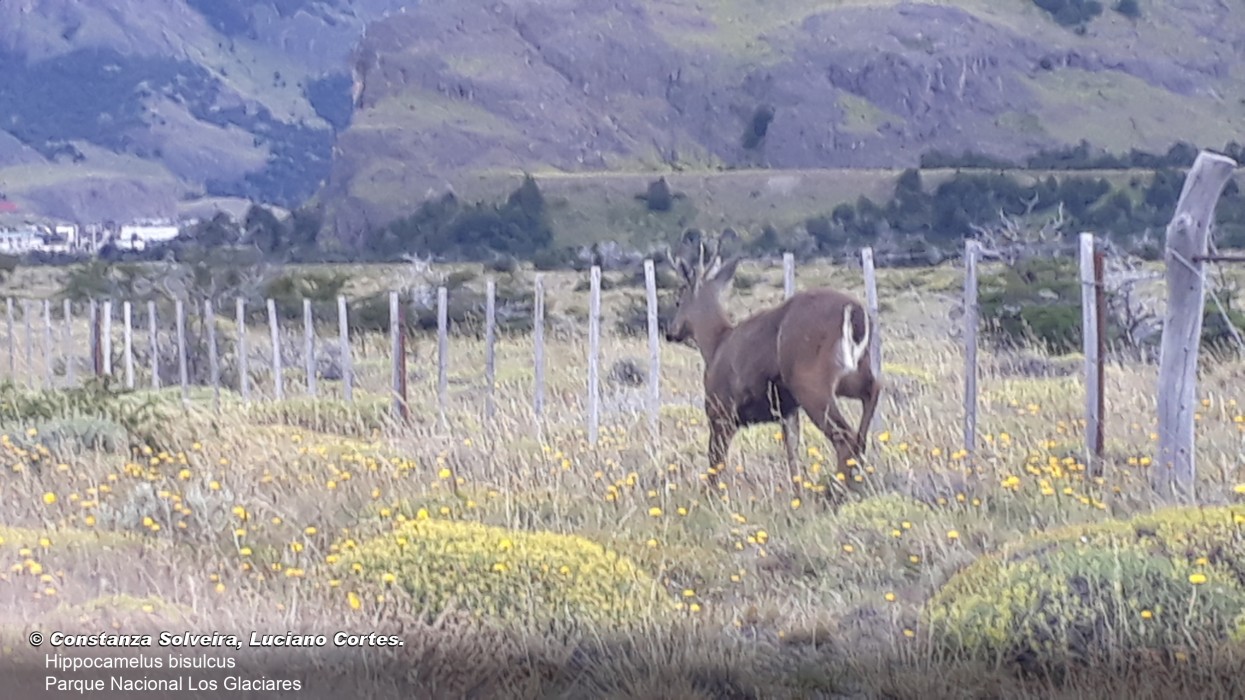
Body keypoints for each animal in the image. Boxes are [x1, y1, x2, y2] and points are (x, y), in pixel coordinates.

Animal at [664, 228, 882, 490]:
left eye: (678, 300)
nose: (670, 332)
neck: (716, 345)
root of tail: (856, 311)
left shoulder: (720, 409)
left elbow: (716, 462)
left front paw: (709, 495)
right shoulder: (787, 410)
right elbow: (792, 455)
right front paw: (798, 492)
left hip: (810, 380)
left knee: (845, 436)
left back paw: (838, 489)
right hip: (852, 373)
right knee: (870, 400)